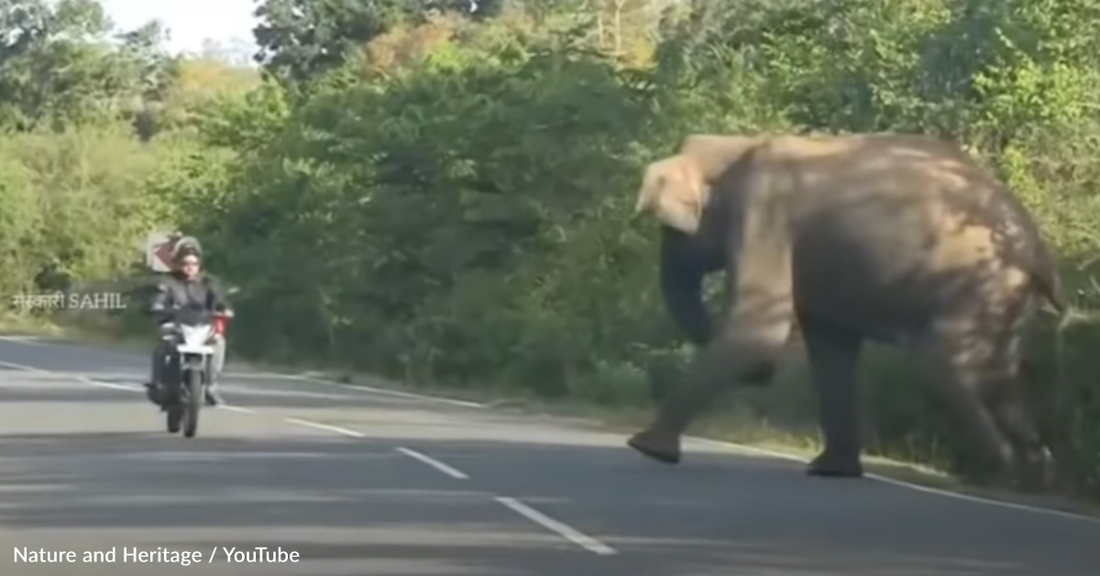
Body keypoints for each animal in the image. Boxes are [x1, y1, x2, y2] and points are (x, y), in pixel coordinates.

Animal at [629, 133, 1064, 488]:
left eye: (672, 230)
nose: (765, 375)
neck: (733, 144)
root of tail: (1040, 253)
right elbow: (831, 348)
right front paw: (832, 471)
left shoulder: (765, 214)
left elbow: (757, 330)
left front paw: (644, 448)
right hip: (1006, 294)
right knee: (999, 375)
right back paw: (1034, 475)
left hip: (981, 282)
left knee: (947, 365)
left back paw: (999, 472)